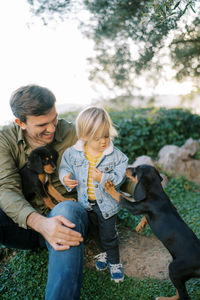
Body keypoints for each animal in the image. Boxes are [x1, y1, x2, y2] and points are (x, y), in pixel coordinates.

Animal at [104, 164, 200, 300]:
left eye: (135, 170)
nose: (127, 167)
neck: (156, 192)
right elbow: (143, 213)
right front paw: (141, 225)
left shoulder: (136, 206)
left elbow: (122, 198)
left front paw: (109, 187)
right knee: (179, 292)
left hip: (174, 269)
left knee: (183, 296)